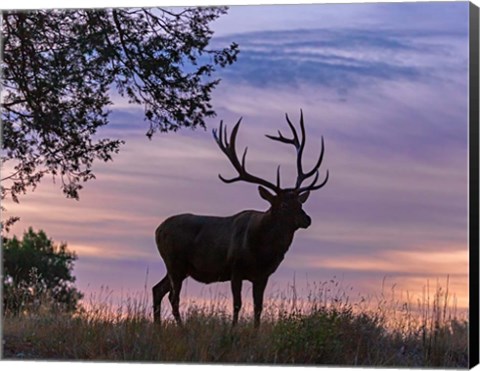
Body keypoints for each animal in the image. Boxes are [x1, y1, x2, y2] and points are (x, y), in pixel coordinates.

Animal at [152, 111, 328, 328]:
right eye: (284, 205)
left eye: (300, 203)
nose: (307, 219)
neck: (262, 250)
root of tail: (157, 230)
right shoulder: (235, 268)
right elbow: (237, 304)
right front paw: (232, 331)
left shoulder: (262, 275)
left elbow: (258, 307)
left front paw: (255, 332)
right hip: (174, 261)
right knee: (172, 297)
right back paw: (181, 329)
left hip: (179, 267)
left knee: (157, 290)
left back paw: (158, 327)